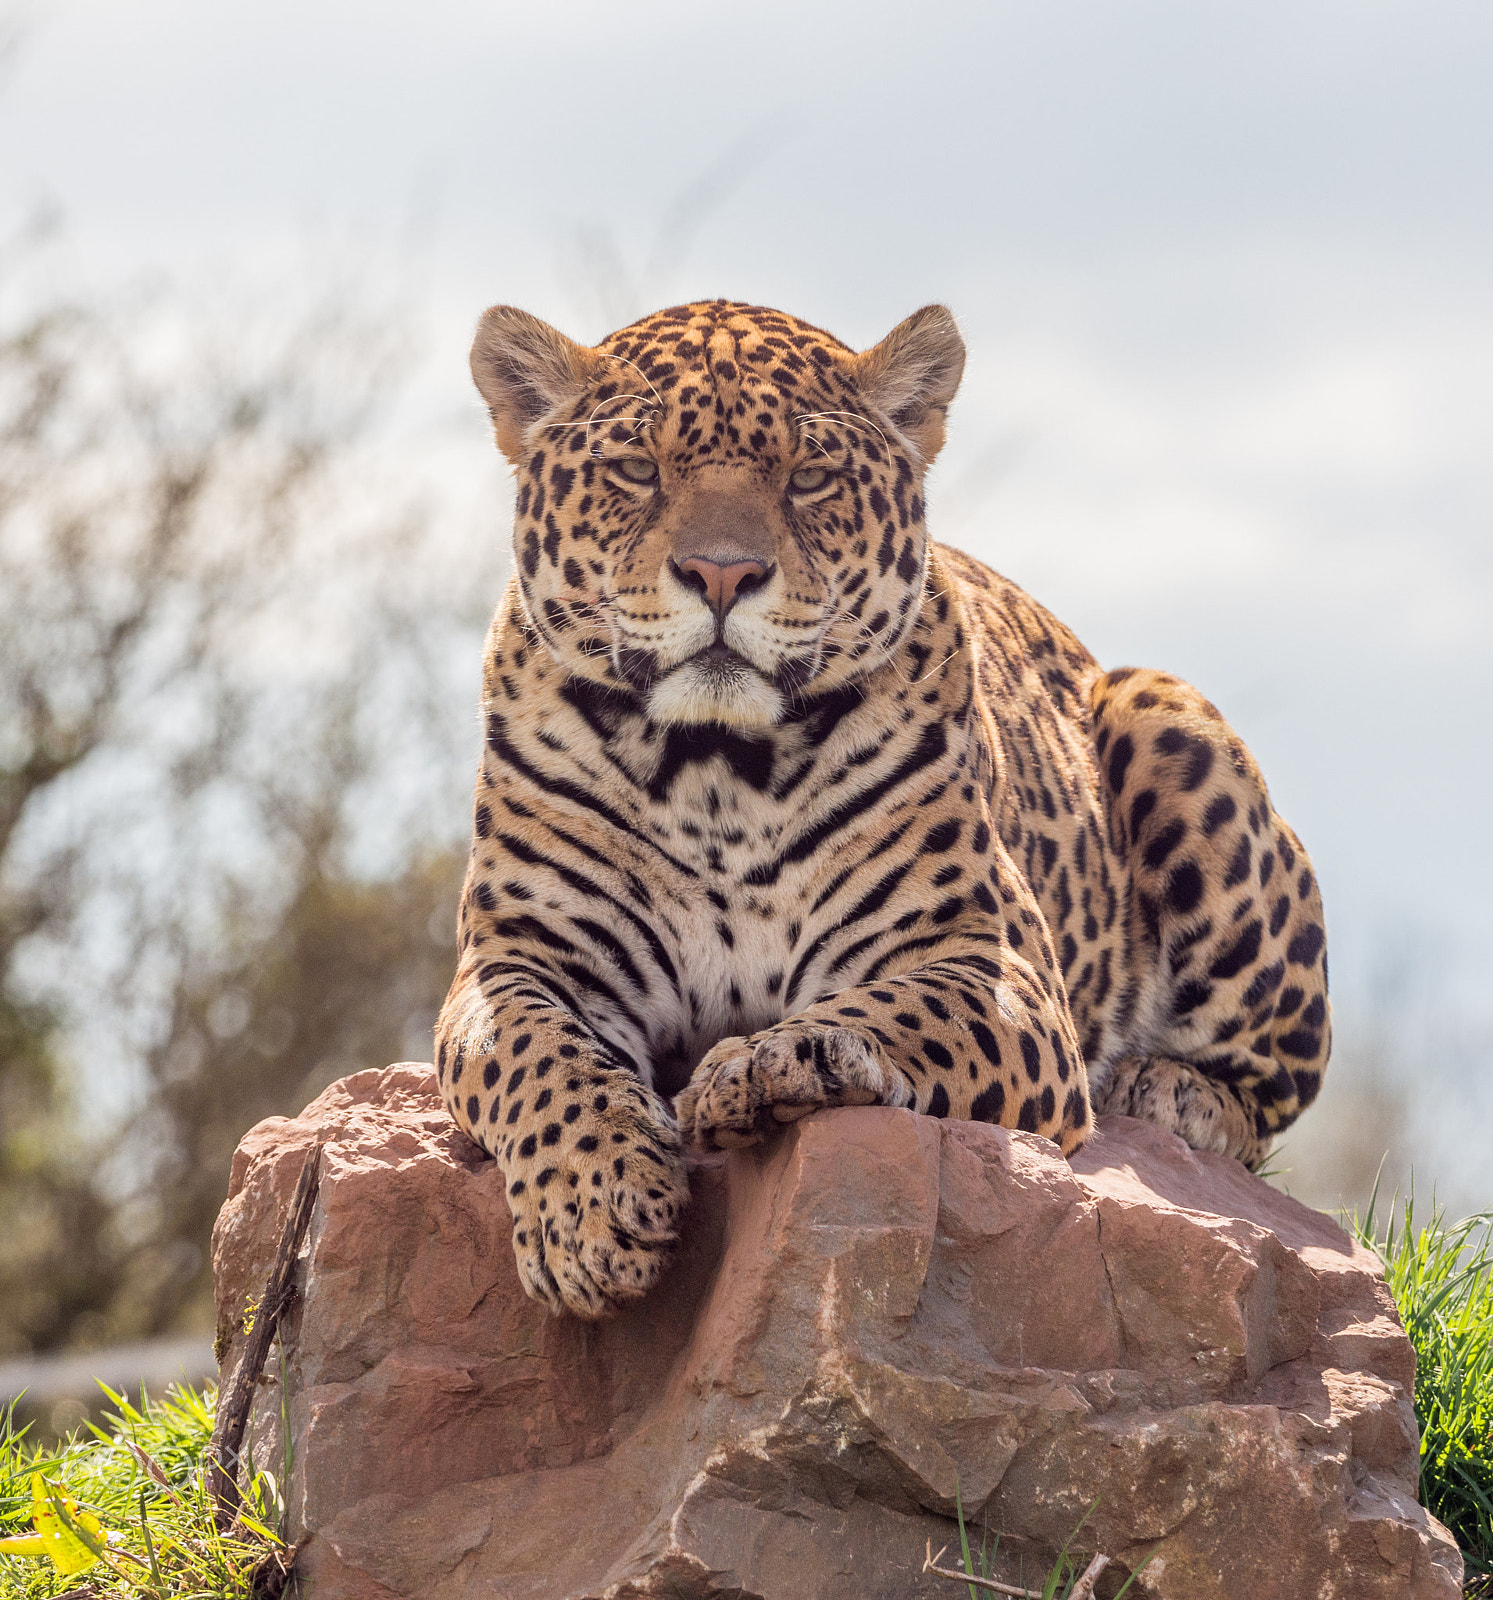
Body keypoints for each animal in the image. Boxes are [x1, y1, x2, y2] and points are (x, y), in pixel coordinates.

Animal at [432, 294, 1331, 1318]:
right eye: (635, 470)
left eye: (810, 478)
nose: (720, 573)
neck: (715, 770)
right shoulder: (523, 957)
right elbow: (536, 1059)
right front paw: (589, 1210)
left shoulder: (987, 962)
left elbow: (902, 1010)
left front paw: (770, 1064)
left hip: (1165, 710)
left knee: (1270, 1098)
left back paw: (1168, 1091)